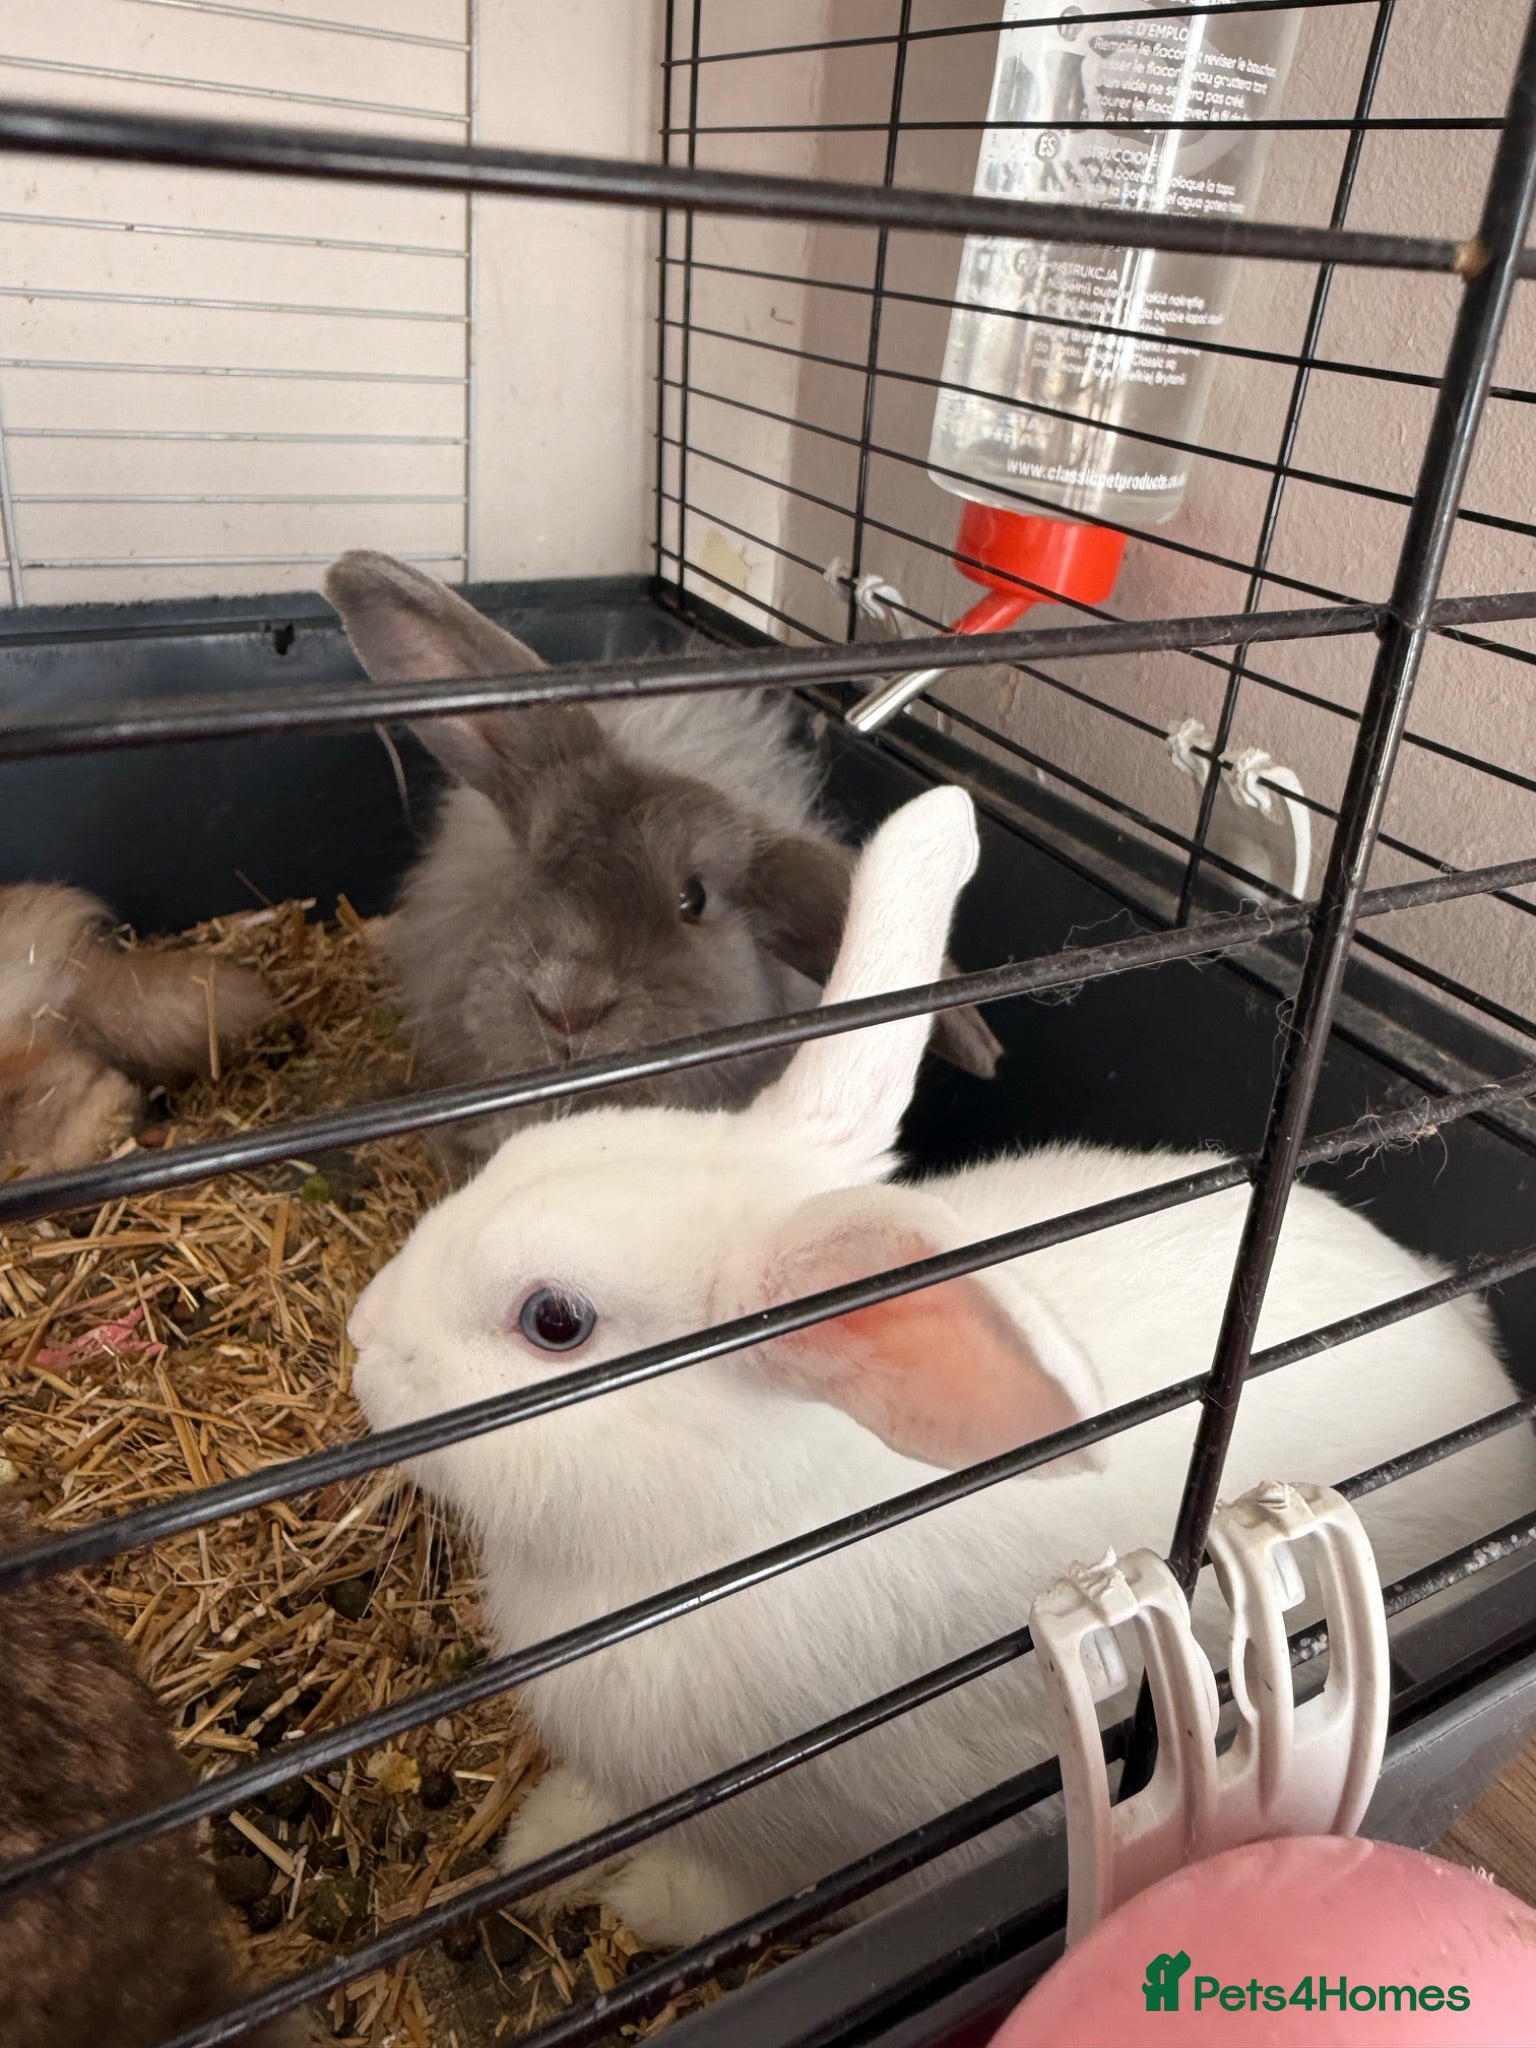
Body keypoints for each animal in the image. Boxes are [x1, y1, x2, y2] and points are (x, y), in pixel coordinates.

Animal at [345, 787, 1536, 1951]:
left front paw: (645, 1904)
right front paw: (537, 1844)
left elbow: (722, 1893)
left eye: (555, 1321)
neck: (733, 1538)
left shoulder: (799, 1839)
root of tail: (1496, 1392)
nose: (362, 1339)